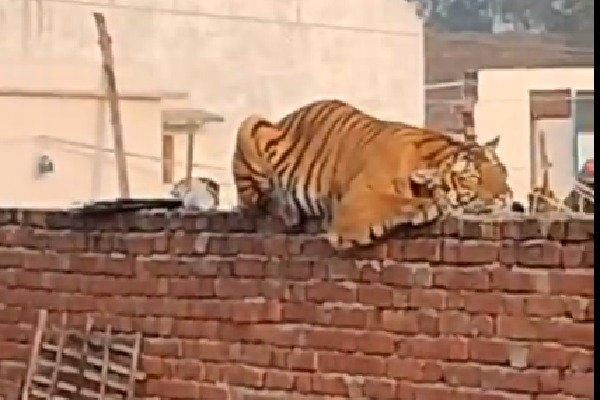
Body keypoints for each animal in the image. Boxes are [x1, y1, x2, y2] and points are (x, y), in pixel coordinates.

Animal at [232, 99, 512, 250]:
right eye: (471, 179)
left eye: (502, 171)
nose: (506, 197)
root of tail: (285, 117)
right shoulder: (356, 203)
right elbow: (392, 201)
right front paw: (429, 205)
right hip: (251, 123)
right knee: (253, 204)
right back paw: (286, 210)